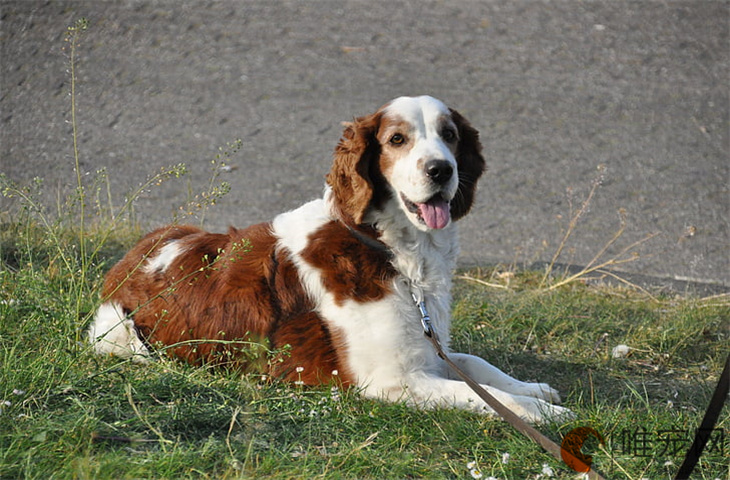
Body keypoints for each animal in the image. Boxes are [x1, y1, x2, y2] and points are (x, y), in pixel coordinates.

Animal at [88, 95, 568, 422]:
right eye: (397, 139)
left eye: (449, 136)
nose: (441, 169)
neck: (389, 250)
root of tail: (126, 263)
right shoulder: (391, 380)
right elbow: (479, 394)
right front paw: (542, 413)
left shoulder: (428, 350)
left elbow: (475, 364)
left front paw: (534, 388)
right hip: (116, 332)